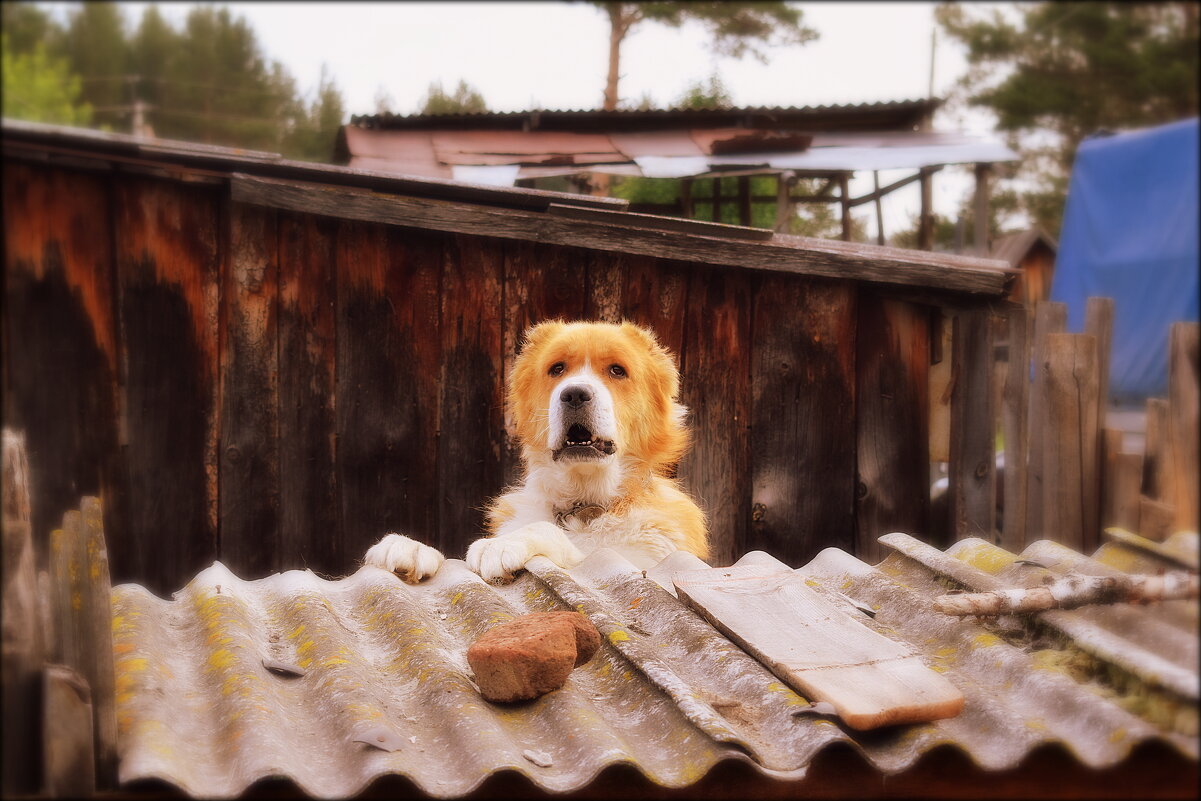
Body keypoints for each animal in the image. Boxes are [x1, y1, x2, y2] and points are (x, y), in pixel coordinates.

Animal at [360, 317, 706, 583]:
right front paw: (409, 548)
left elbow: (559, 538)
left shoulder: (646, 560)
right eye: (557, 369)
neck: (585, 507)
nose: (575, 394)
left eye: (617, 371)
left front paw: (502, 544)